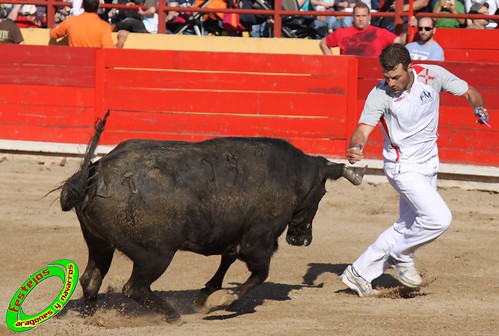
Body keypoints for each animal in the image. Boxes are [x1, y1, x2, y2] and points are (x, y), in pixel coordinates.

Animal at [61, 112, 368, 322]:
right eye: (322, 192)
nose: (302, 239)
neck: (290, 175)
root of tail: (95, 173)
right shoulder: (259, 243)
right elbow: (259, 274)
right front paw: (217, 302)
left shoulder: (232, 235)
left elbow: (226, 261)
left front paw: (204, 295)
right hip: (155, 254)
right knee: (134, 287)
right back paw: (172, 316)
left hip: (99, 244)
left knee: (91, 278)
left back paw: (91, 318)